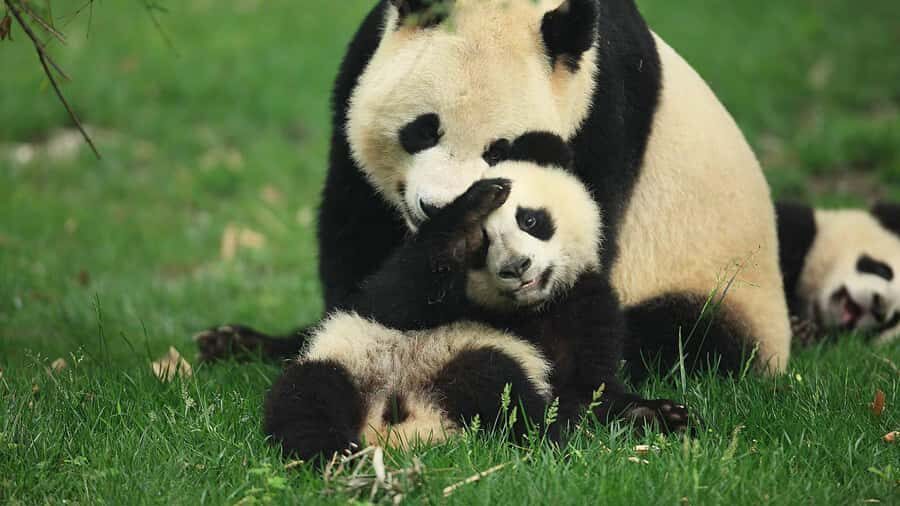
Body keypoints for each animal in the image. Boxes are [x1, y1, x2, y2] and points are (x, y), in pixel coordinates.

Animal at [197, 0, 791, 377]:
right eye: (423, 129)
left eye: (499, 149)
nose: (435, 208)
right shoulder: (361, 66)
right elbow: (358, 237)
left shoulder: (604, 109)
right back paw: (236, 341)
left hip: (722, 282)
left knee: (688, 337)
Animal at [264, 136, 690, 463]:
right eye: (483, 246)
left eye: (530, 219)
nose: (517, 266)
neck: (524, 311)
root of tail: (400, 418)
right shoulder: (392, 297)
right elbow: (390, 297)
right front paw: (470, 210)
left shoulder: (583, 302)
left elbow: (588, 384)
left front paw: (658, 413)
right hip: (346, 362)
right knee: (307, 403)